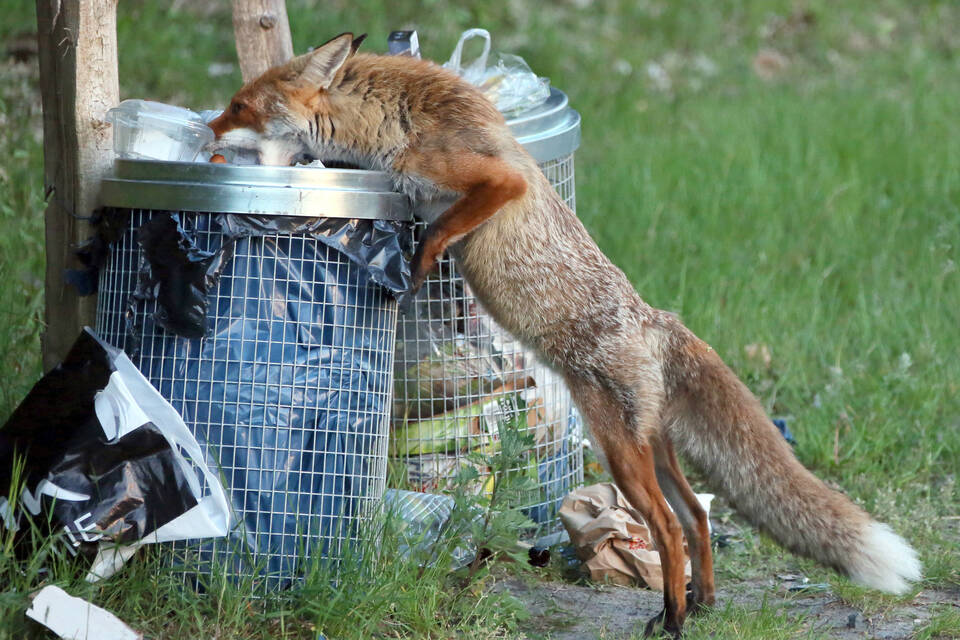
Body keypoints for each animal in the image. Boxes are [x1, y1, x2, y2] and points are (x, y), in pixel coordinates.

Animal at [208, 33, 924, 636]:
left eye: (239, 105)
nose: (204, 132)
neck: (399, 124)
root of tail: (657, 320)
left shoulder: (493, 180)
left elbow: (441, 230)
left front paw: (417, 269)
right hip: (651, 447)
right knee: (696, 515)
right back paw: (702, 603)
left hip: (620, 451)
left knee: (668, 526)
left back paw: (672, 619)